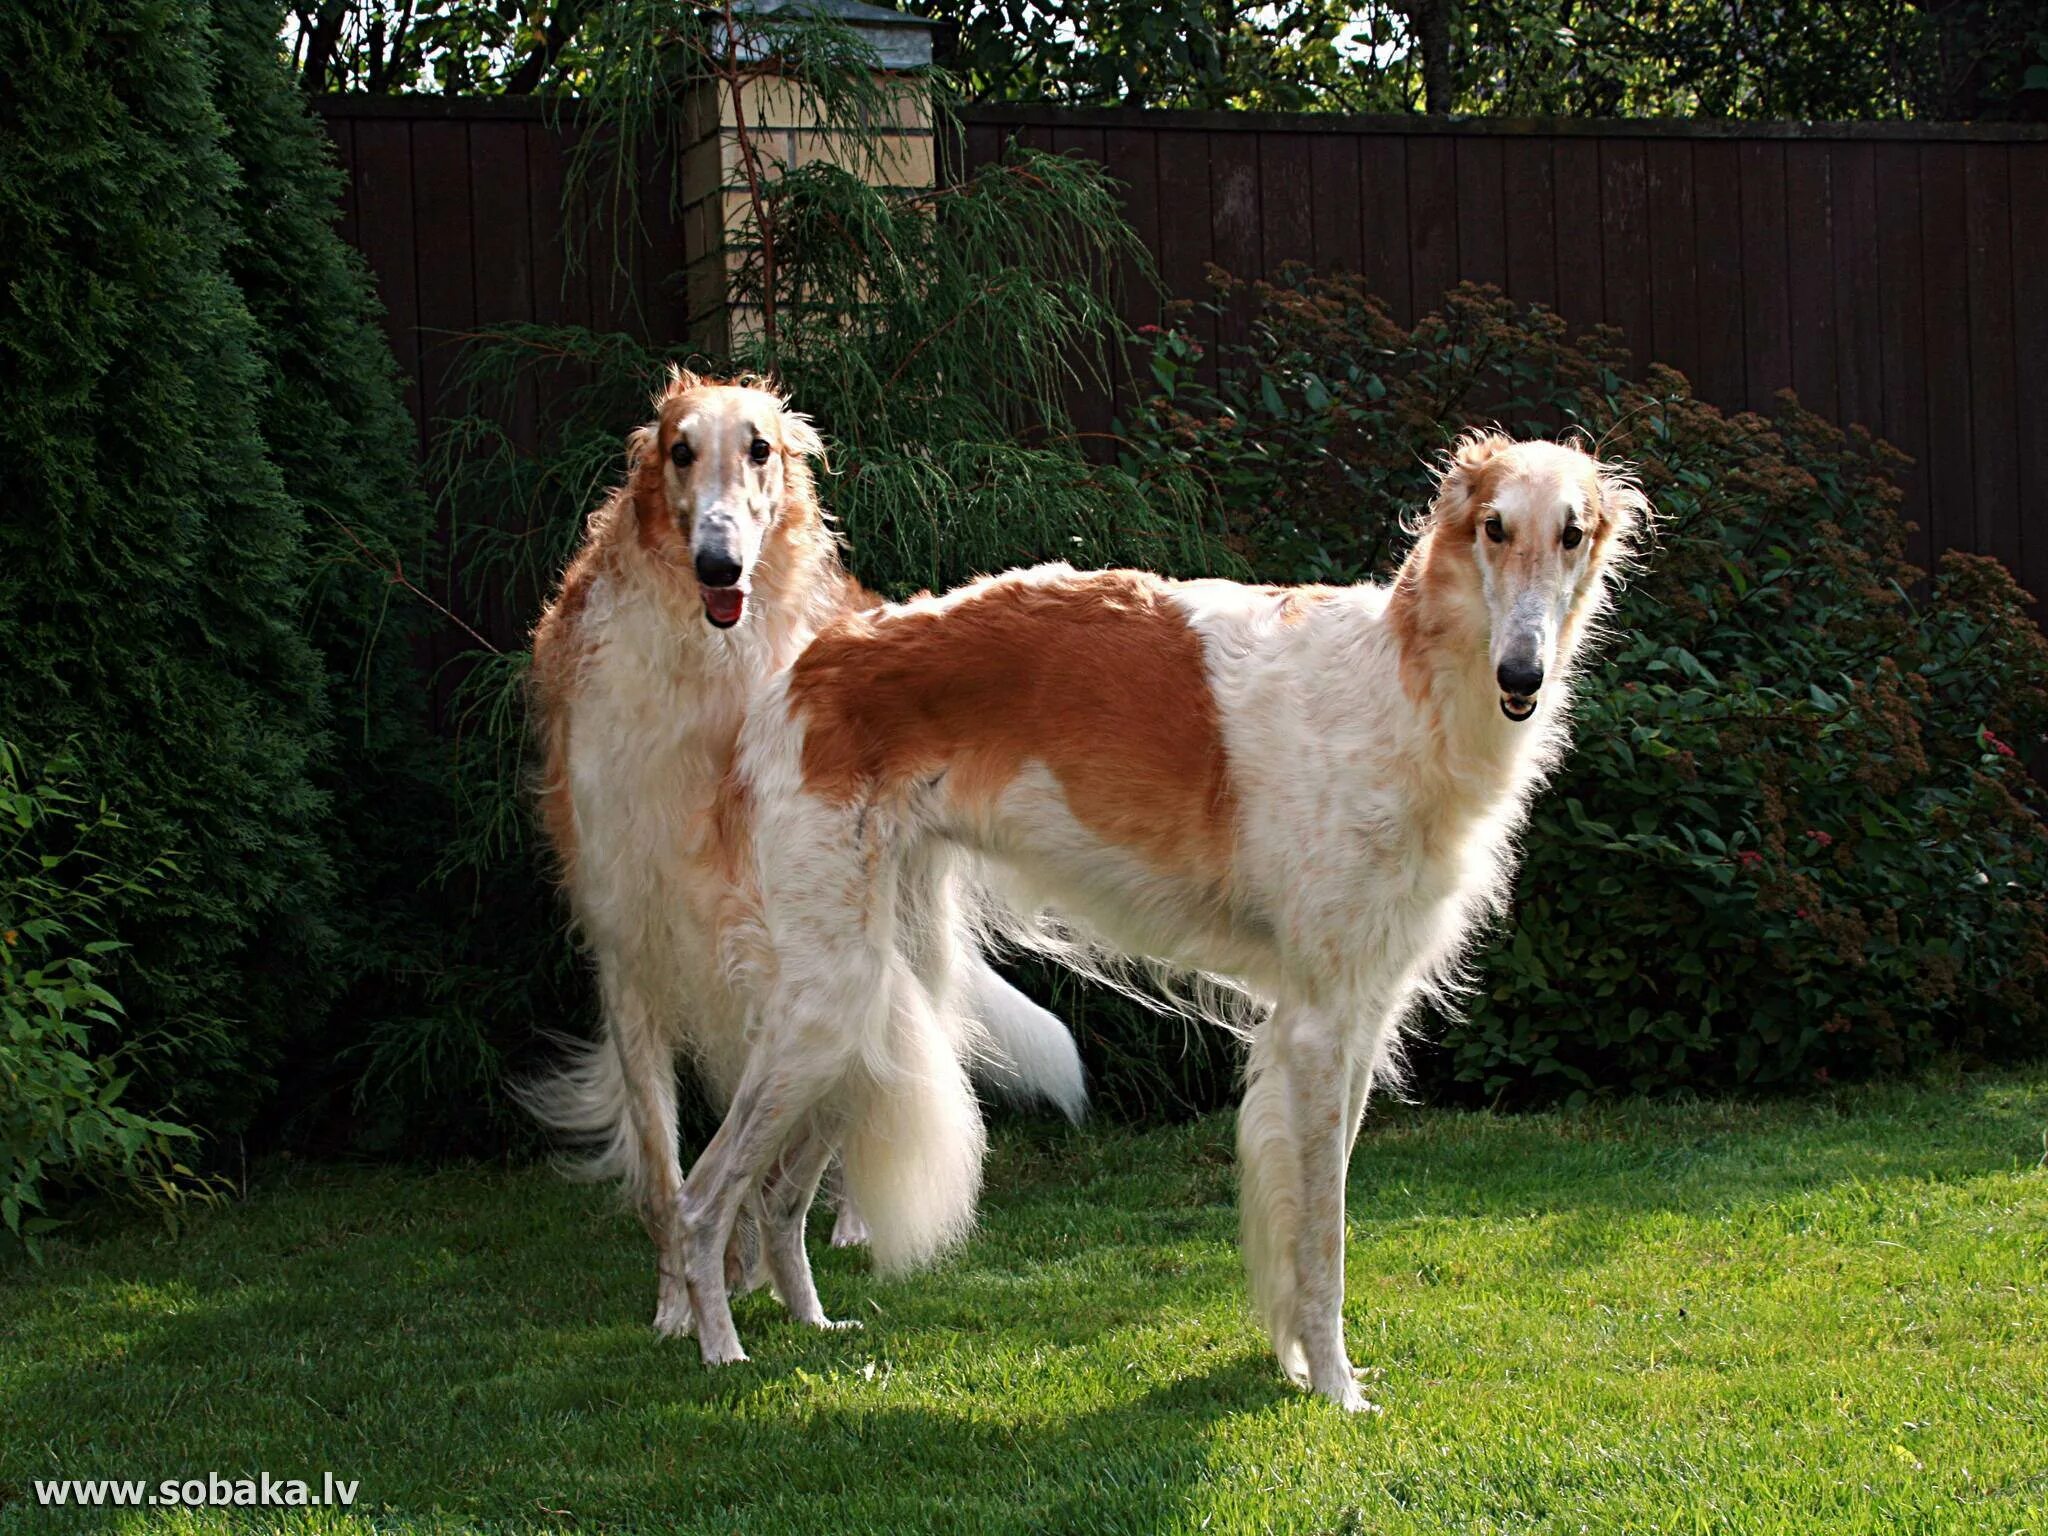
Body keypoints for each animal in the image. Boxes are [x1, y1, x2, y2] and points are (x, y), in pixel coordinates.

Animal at [524, 376, 1089, 1343]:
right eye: (679, 451)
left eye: (760, 449)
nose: (718, 565)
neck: (708, 676)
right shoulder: (629, 944)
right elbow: (666, 1164)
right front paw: (677, 1306)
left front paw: (742, 1274)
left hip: (883, 950)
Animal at [671, 430, 1646, 1409]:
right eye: (1494, 527)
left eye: (1573, 533)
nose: (1522, 675)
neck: (1400, 687)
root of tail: (800, 672)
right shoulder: (1319, 1024)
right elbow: (1322, 1236)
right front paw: (1334, 1385)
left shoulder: (1361, 1014)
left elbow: (1307, 1217)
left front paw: (1300, 1363)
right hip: (826, 1003)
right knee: (703, 1194)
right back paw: (716, 1348)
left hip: (870, 1002)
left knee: (779, 1196)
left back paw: (809, 1323)